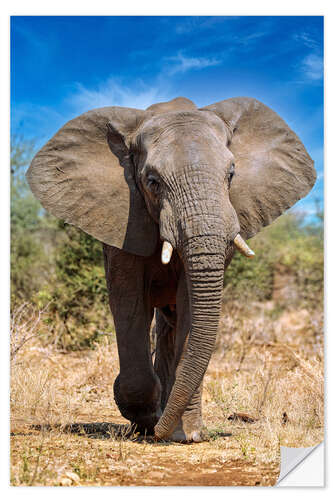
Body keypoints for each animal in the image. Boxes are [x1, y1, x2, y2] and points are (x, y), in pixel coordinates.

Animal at [26, 96, 314, 442]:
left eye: (231, 175)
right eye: (152, 182)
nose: (159, 431)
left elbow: (191, 304)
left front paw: (185, 434)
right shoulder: (124, 216)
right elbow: (128, 300)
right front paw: (146, 419)